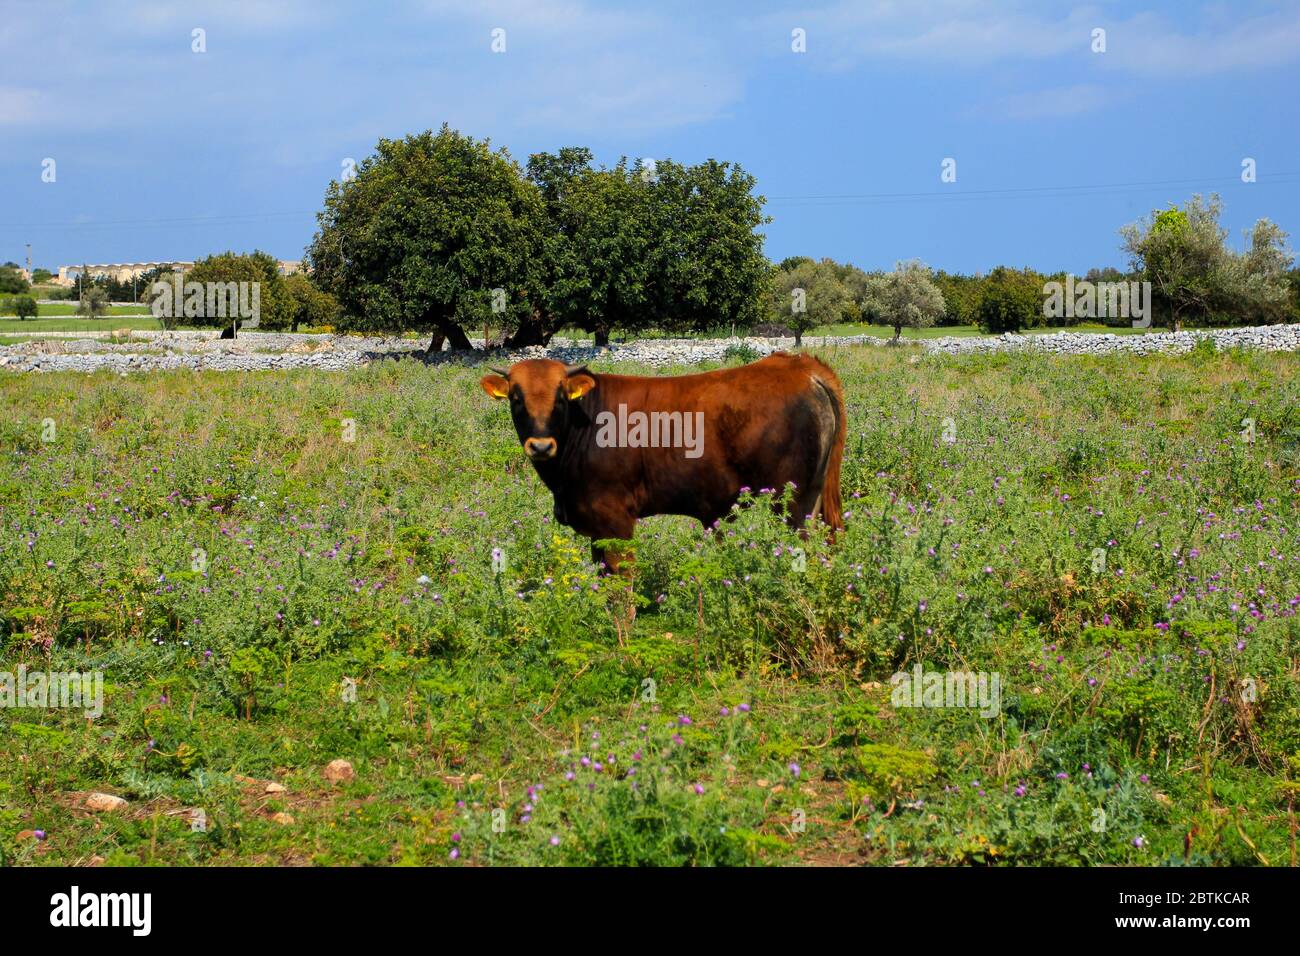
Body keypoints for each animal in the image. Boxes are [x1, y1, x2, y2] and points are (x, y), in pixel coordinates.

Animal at [483, 353, 847, 572]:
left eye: (560, 398)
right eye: (516, 398)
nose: (541, 445)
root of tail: (799, 364)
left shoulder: (615, 519)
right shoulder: (595, 529)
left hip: (791, 503)